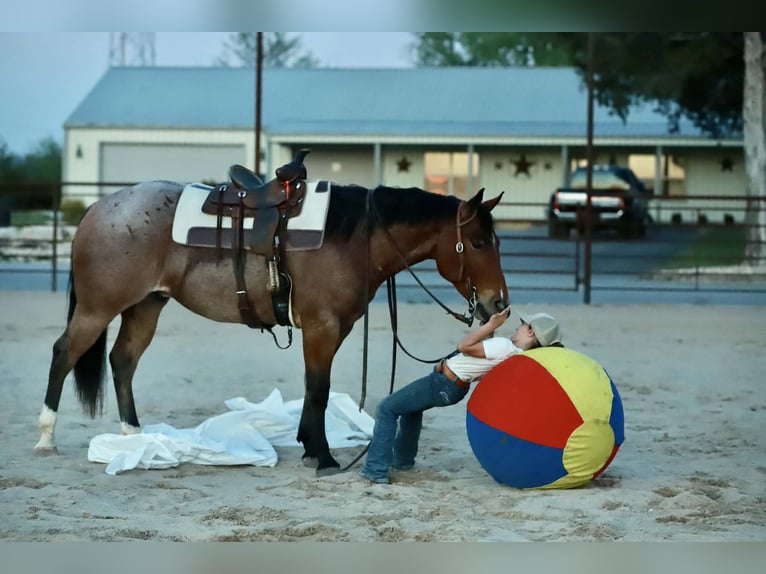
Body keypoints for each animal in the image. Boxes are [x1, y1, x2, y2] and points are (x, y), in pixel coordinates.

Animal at [34, 156, 509, 476]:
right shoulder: (321, 327)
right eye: (478, 243)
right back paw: (46, 437)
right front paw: (323, 457)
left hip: (146, 305)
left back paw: (134, 436)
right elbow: (318, 390)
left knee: (123, 360)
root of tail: (98, 210)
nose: (499, 303)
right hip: (98, 308)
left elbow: (314, 388)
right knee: (63, 353)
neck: (355, 237)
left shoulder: (333, 329)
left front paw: (310, 446)